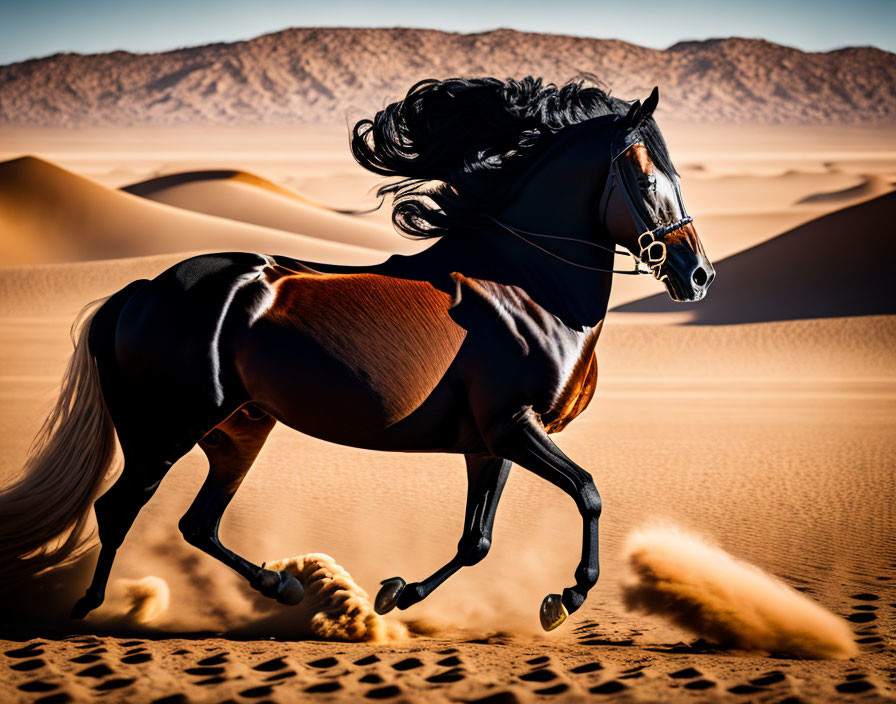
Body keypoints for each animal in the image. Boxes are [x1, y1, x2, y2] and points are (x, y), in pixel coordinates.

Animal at [0, 74, 712, 628]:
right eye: (648, 175)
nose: (696, 273)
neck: (525, 282)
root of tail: (143, 289)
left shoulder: (494, 441)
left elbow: (477, 540)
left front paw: (398, 593)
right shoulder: (513, 425)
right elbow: (588, 492)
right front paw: (566, 597)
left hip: (239, 431)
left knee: (197, 524)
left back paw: (281, 584)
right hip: (168, 429)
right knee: (119, 507)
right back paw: (89, 609)